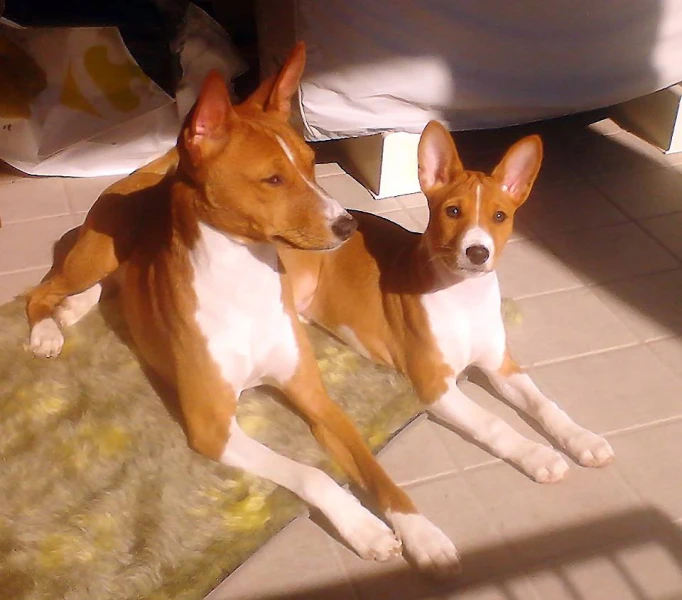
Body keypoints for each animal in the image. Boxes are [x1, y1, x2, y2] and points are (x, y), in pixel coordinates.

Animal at [27, 45, 462, 576]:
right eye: (272, 179)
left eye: (312, 164)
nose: (348, 226)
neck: (244, 284)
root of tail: (156, 168)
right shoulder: (212, 427)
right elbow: (313, 474)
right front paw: (364, 527)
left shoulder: (315, 397)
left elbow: (376, 471)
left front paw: (421, 532)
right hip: (103, 245)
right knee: (42, 288)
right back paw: (48, 329)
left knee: (105, 287)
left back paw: (73, 311)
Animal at [278, 119, 612, 486]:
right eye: (453, 211)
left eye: (499, 216)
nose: (478, 252)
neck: (464, 298)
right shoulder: (435, 386)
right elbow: (493, 423)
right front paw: (538, 455)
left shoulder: (501, 364)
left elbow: (543, 403)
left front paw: (582, 439)